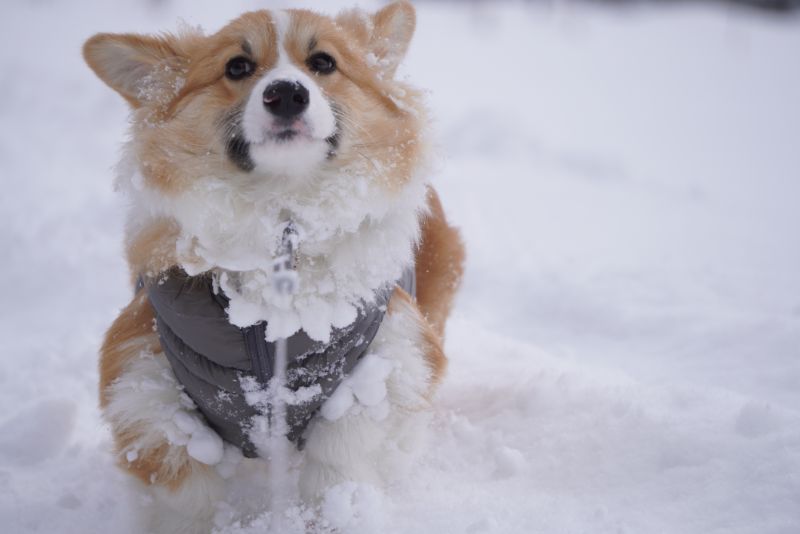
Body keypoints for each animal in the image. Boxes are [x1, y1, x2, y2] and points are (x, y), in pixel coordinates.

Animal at [83, 2, 462, 532]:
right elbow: (184, 484)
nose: (286, 93)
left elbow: (339, 459)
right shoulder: (142, 370)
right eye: (237, 67)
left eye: (323, 62)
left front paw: (330, 515)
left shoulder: (389, 359)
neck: (282, 213)